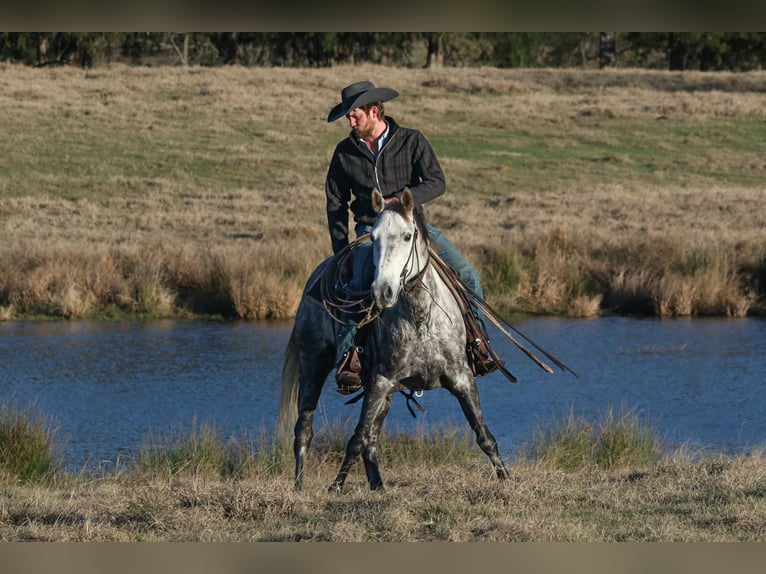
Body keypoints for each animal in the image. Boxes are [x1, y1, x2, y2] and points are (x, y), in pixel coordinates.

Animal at [280, 187, 510, 492]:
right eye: (374, 237)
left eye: (407, 236)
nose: (383, 291)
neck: (422, 317)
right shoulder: (382, 380)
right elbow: (356, 439)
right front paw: (336, 486)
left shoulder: (461, 378)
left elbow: (484, 435)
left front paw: (506, 477)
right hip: (313, 364)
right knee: (305, 429)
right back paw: (298, 487)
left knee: (372, 439)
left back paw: (377, 485)